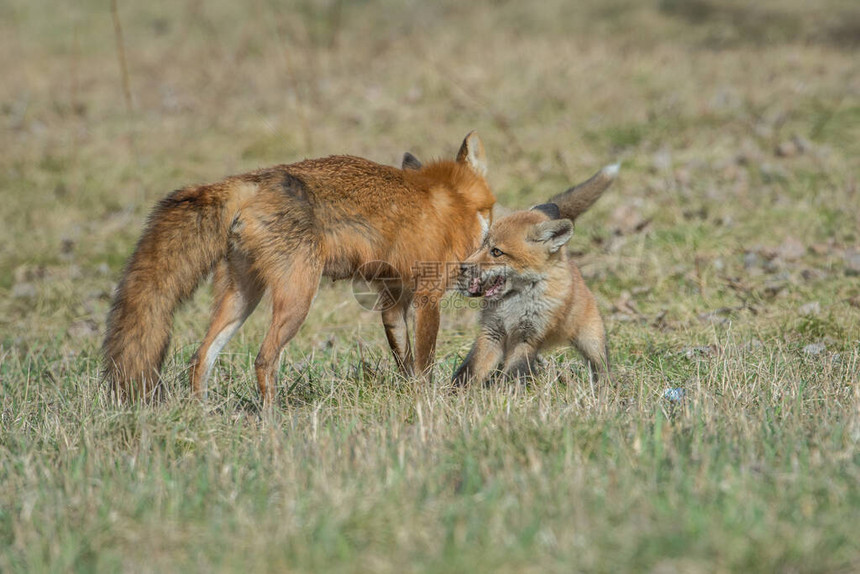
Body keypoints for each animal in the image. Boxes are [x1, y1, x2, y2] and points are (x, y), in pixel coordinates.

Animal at [103, 133, 494, 402]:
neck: (454, 201)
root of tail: (251, 181)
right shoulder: (428, 296)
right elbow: (424, 364)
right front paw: (427, 404)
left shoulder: (392, 300)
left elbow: (406, 362)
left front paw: (409, 395)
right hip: (297, 298)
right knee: (263, 359)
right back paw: (273, 422)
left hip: (241, 297)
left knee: (200, 357)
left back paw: (202, 416)